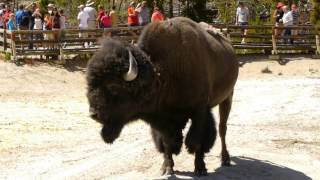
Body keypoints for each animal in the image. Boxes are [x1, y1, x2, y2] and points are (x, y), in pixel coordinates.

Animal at [86, 17, 239, 176]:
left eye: (114, 86)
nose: (93, 114)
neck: (161, 75)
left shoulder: (200, 111)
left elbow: (196, 140)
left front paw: (200, 168)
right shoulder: (164, 118)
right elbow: (167, 142)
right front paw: (167, 168)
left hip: (228, 97)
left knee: (222, 129)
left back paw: (225, 159)